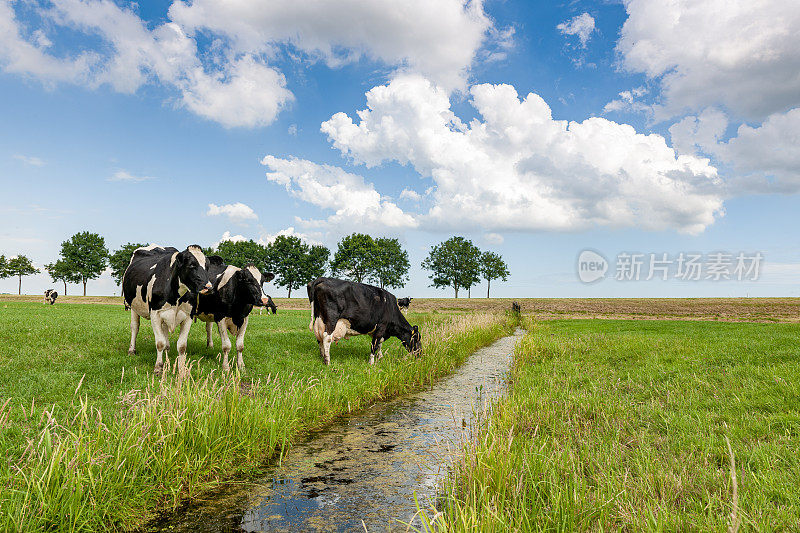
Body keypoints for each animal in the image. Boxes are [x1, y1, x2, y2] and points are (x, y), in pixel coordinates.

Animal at [122, 244, 212, 374]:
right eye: (191, 265)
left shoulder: (188, 316)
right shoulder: (155, 314)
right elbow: (160, 343)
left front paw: (181, 369)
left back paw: (168, 348)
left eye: (207, 266)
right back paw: (132, 350)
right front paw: (158, 367)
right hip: (133, 306)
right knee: (135, 327)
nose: (208, 287)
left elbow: (182, 345)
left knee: (164, 329)